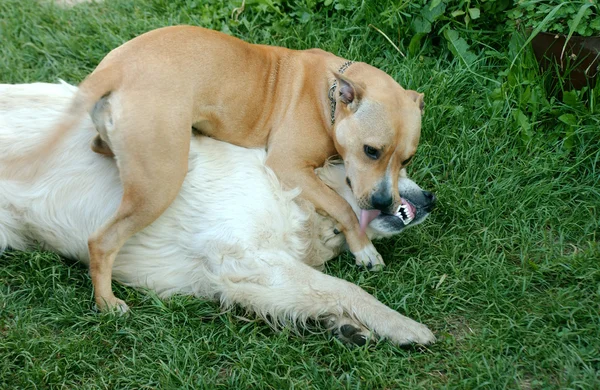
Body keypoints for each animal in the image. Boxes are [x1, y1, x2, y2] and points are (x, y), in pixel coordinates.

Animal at [0, 84, 434, 346]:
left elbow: (317, 294)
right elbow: (346, 289)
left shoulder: (243, 277)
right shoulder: (241, 257)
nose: (431, 198)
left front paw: (346, 326)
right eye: (385, 159)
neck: (296, 197)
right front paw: (404, 326)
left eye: (406, 162)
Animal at [8, 25, 422, 310]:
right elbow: (341, 207)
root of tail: (116, 67)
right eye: (371, 151)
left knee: (102, 148)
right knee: (103, 241)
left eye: (406, 159)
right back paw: (107, 302)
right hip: (160, 184)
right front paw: (363, 248)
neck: (330, 95)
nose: (385, 202)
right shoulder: (288, 166)